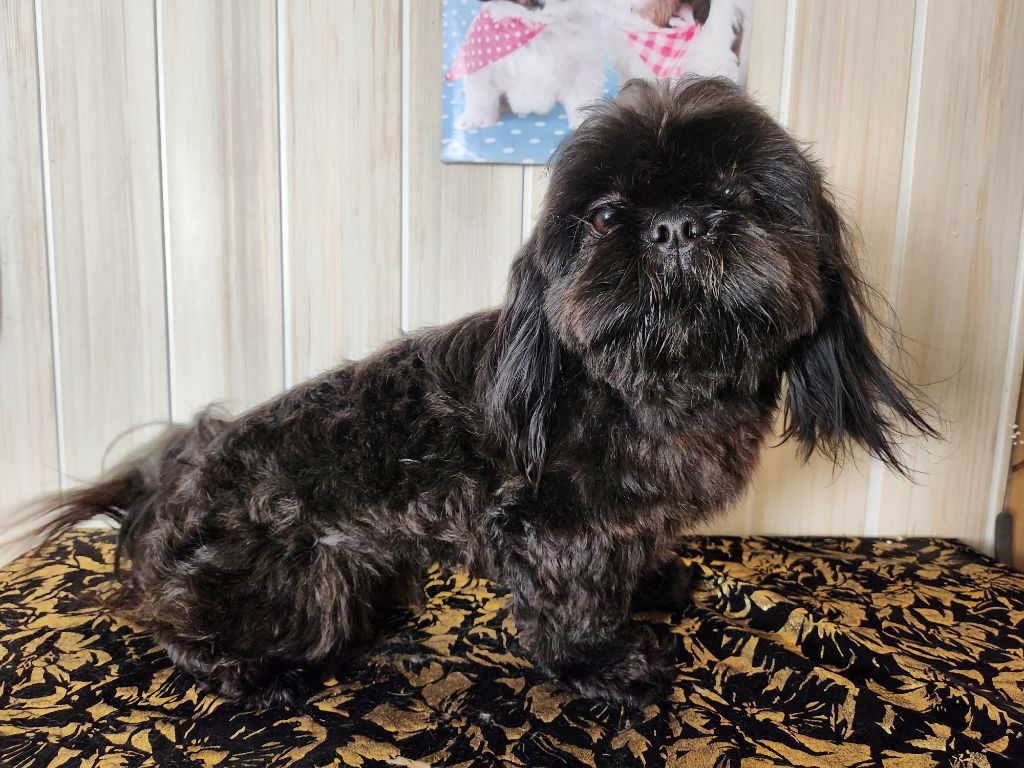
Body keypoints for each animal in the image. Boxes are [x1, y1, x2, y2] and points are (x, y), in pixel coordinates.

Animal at [37, 78, 935, 710]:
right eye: (606, 216)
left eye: (744, 194)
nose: (678, 224)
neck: (659, 392)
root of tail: (170, 483)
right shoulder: (554, 528)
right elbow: (573, 602)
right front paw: (604, 663)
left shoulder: (634, 516)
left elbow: (638, 549)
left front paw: (655, 582)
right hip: (297, 590)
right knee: (172, 627)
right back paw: (252, 672)